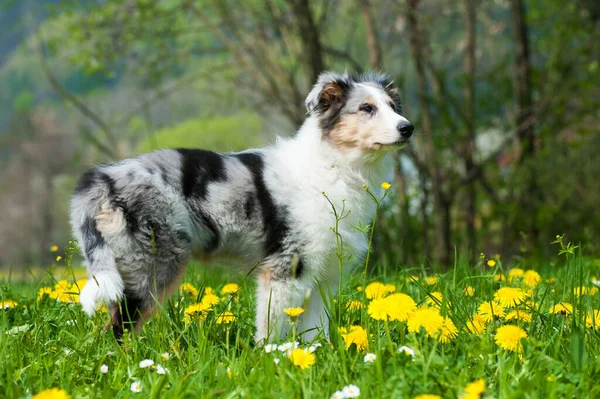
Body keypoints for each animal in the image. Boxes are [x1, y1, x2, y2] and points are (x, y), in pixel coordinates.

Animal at [71, 71, 412, 344]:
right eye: (366, 108)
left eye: (393, 107)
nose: (408, 128)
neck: (335, 165)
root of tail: (102, 178)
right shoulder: (285, 270)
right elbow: (271, 329)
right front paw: (270, 359)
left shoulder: (323, 275)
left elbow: (316, 331)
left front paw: (314, 360)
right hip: (150, 268)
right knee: (116, 329)